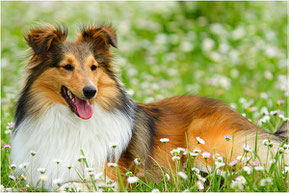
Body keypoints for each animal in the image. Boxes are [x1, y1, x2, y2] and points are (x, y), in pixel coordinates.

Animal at [10, 24, 286, 190]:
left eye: (93, 67)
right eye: (67, 66)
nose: (90, 91)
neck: (69, 122)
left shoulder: (108, 180)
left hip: (205, 145)